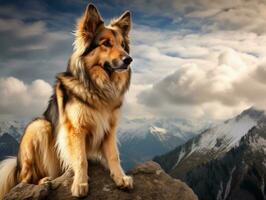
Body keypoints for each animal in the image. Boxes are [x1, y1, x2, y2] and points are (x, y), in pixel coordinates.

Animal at [0, 3, 133, 198]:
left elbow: (113, 155)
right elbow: (81, 158)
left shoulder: (109, 129)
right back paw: (43, 181)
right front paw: (80, 183)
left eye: (123, 45)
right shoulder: (75, 129)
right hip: (39, 126)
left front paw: (120, 178)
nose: (129, 60)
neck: (98, 87)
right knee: (25, 179)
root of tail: (16, 166)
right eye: (106, 43)